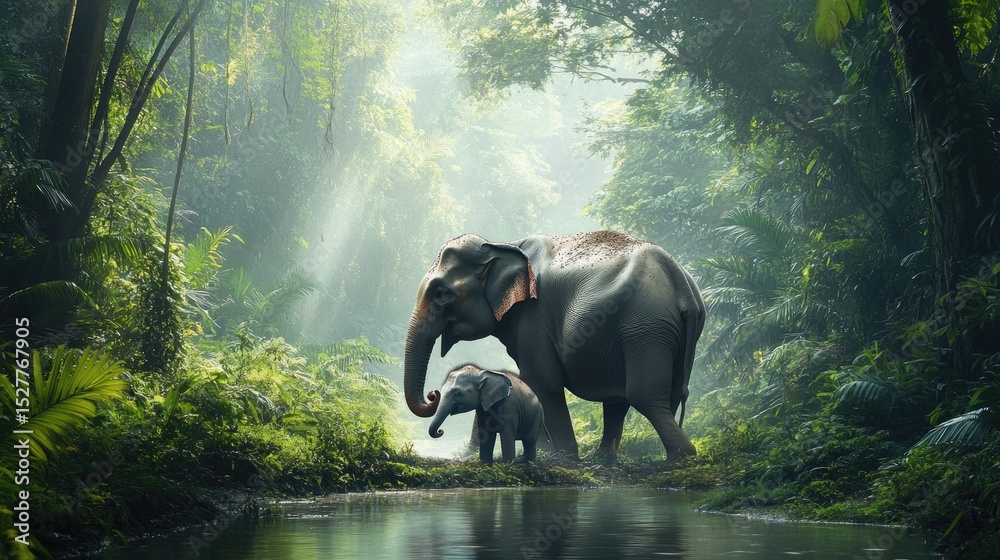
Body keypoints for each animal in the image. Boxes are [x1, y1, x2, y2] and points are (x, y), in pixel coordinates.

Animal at [404, 231, 705, 461]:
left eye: (441, 293)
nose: (432, 395)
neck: (501, 243)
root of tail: (680, 281)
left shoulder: (533, 315)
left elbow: (543, 382)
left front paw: (559, 457)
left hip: (645, 328)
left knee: (644, 397)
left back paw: (678, 459)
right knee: (634, 398)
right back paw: (605, 459)